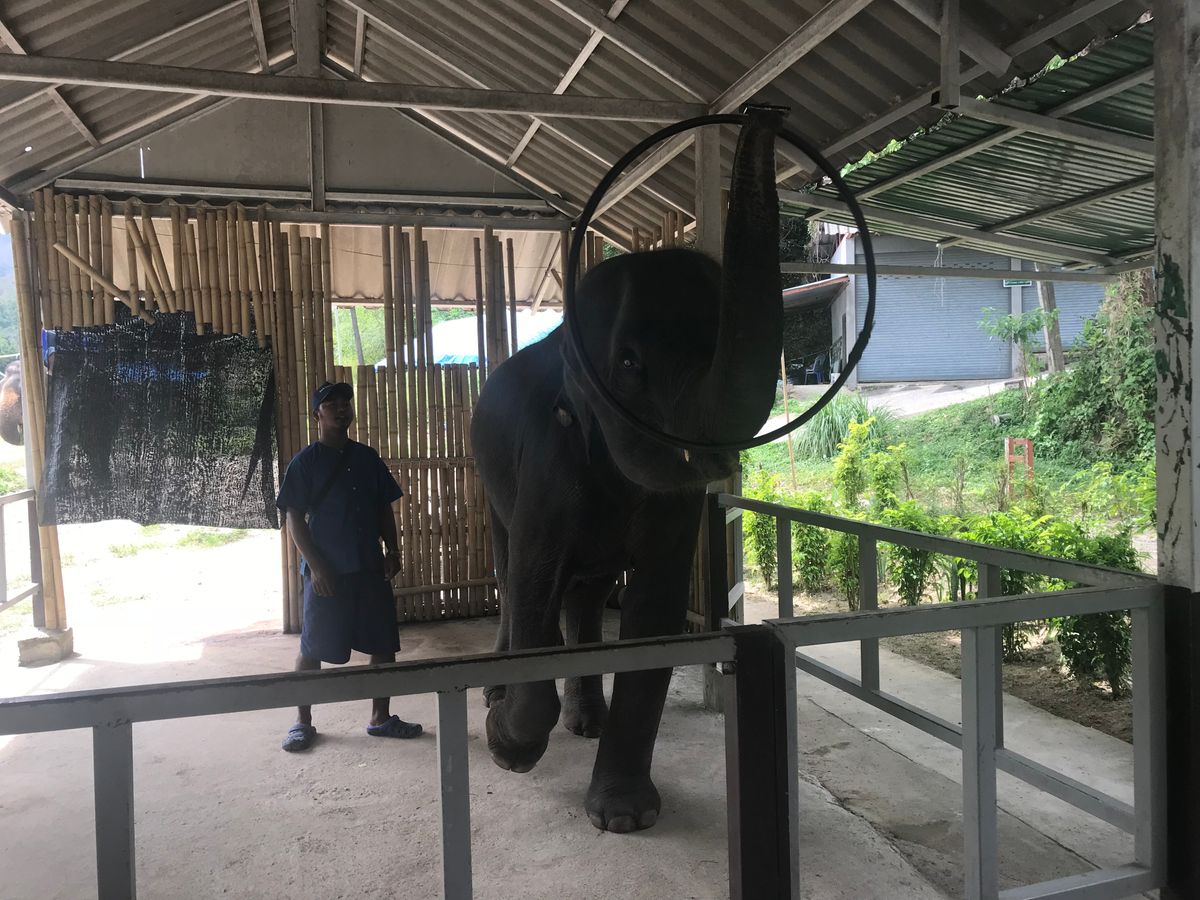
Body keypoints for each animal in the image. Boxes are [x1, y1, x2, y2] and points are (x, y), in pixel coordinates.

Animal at [470, 109, 784, 833]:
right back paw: (500, 694)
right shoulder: (548, 459)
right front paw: (505, 743)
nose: (764, 113)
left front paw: (625, 818)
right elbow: (532, 576)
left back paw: (588, 719)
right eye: (630, 364)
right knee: (509, 569)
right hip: (488, 483)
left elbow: (655, 608)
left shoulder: (672, 506)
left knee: (586, 595)